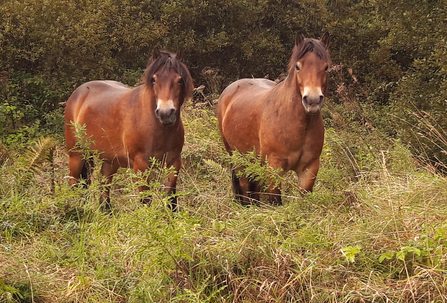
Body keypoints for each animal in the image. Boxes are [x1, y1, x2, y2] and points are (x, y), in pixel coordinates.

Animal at [64, 48, 192, 211]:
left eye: (179, 80)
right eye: (154, 79)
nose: (165, 113)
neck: (157, 127)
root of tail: (79, 93)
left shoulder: (174, 162)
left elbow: (171, 199)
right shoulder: (141, 165)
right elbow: (146, 200)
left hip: (110, 160)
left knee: (104, 187)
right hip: (77, 155)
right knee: (74, 184)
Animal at [219, 32, 330, 205]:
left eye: (326, 67)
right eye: (298, 66)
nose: (312, 100)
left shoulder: (309, 169)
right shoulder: (274, 167)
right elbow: (276, 200)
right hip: (237, 158)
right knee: (244, 187)